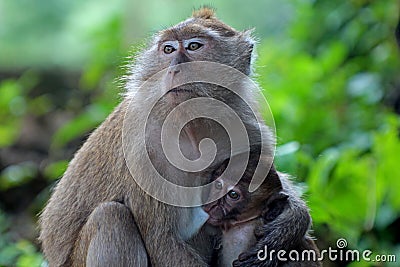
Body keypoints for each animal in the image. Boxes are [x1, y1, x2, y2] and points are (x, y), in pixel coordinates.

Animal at [39, 7, 314, 266]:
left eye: (194, 46)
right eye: (168, 50)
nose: (175, 68)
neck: (191, 125)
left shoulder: (247, 127)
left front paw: (290, 223)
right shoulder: (142, 152)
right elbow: (160, 239)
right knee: (111, 217)